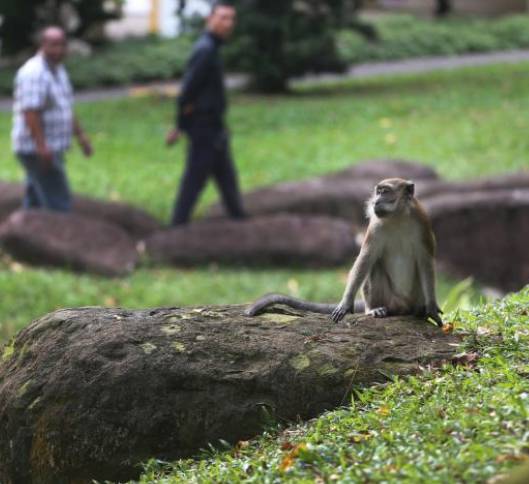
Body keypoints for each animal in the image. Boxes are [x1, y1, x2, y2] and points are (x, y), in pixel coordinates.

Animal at [245, 179, 444, 328]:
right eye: (378, 192)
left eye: (385, 192)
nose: (375, 201)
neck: (398, 218)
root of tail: (403, 306)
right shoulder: (375, 227)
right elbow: (365, 259)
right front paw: (346, 303)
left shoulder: (422, 223)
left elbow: (425, 261)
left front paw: (431, 307)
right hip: (391, 299)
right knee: (374, 267)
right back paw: (373, 309)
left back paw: (419, 310)